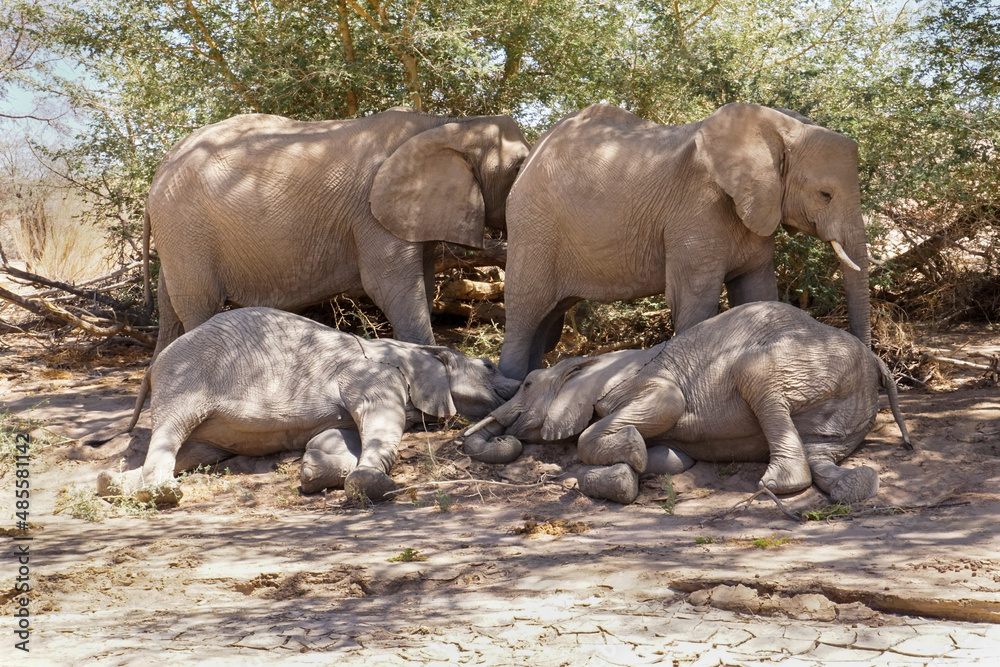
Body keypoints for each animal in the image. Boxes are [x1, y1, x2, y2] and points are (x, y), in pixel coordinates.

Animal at [96, 307, 521, 505]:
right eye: (487, 366)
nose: (519, 383)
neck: (408, 349)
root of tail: (151, 367)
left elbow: (337, 433)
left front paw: (315, 471)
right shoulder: (372, 375)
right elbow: (379, 416)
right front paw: (375, 486)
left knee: (194, 451)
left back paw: (111, 485)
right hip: (185, 379)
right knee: (172, 431)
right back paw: (161, 493)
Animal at [145, 107, 530, 360]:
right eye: (518, 168)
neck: (449, 124)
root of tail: (162, 166)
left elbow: (420, 280)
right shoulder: (371, 213)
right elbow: (389, 285)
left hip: (178, 233)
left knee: (170, 307)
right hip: (186, 226)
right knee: (200, 304)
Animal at [464, 302, 910, 506]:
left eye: (528, 384)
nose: (503, 435)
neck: (594, 361)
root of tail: (877, 360)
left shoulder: (641, 383)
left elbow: (666, 403)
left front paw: (631, 454)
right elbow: (676, 458)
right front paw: (630, 469)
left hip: (802, 363)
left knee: (754, 374)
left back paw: (777, 485)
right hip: (848, 409)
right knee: (821, 449)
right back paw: (855, 487)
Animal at [498, 103, 872, 380]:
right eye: (825, 195)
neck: (773, 129)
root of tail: (535, 149)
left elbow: (757, 292)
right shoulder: (696, 210)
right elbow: (695, 299)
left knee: (545, 318)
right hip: (534, 226)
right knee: (526, 309)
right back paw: (509, 385)